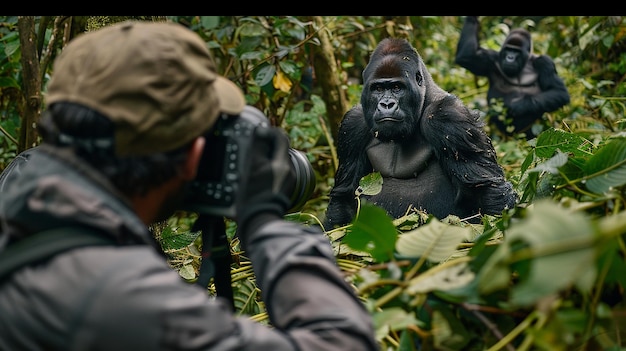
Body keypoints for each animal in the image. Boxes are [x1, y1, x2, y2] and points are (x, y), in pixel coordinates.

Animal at [322, 37, 516, 230]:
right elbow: (345, 197)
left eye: (397, 87)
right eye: (377, 89)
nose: (386, 104)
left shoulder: (449, 116)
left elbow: (486, 189)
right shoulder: (352, 126)